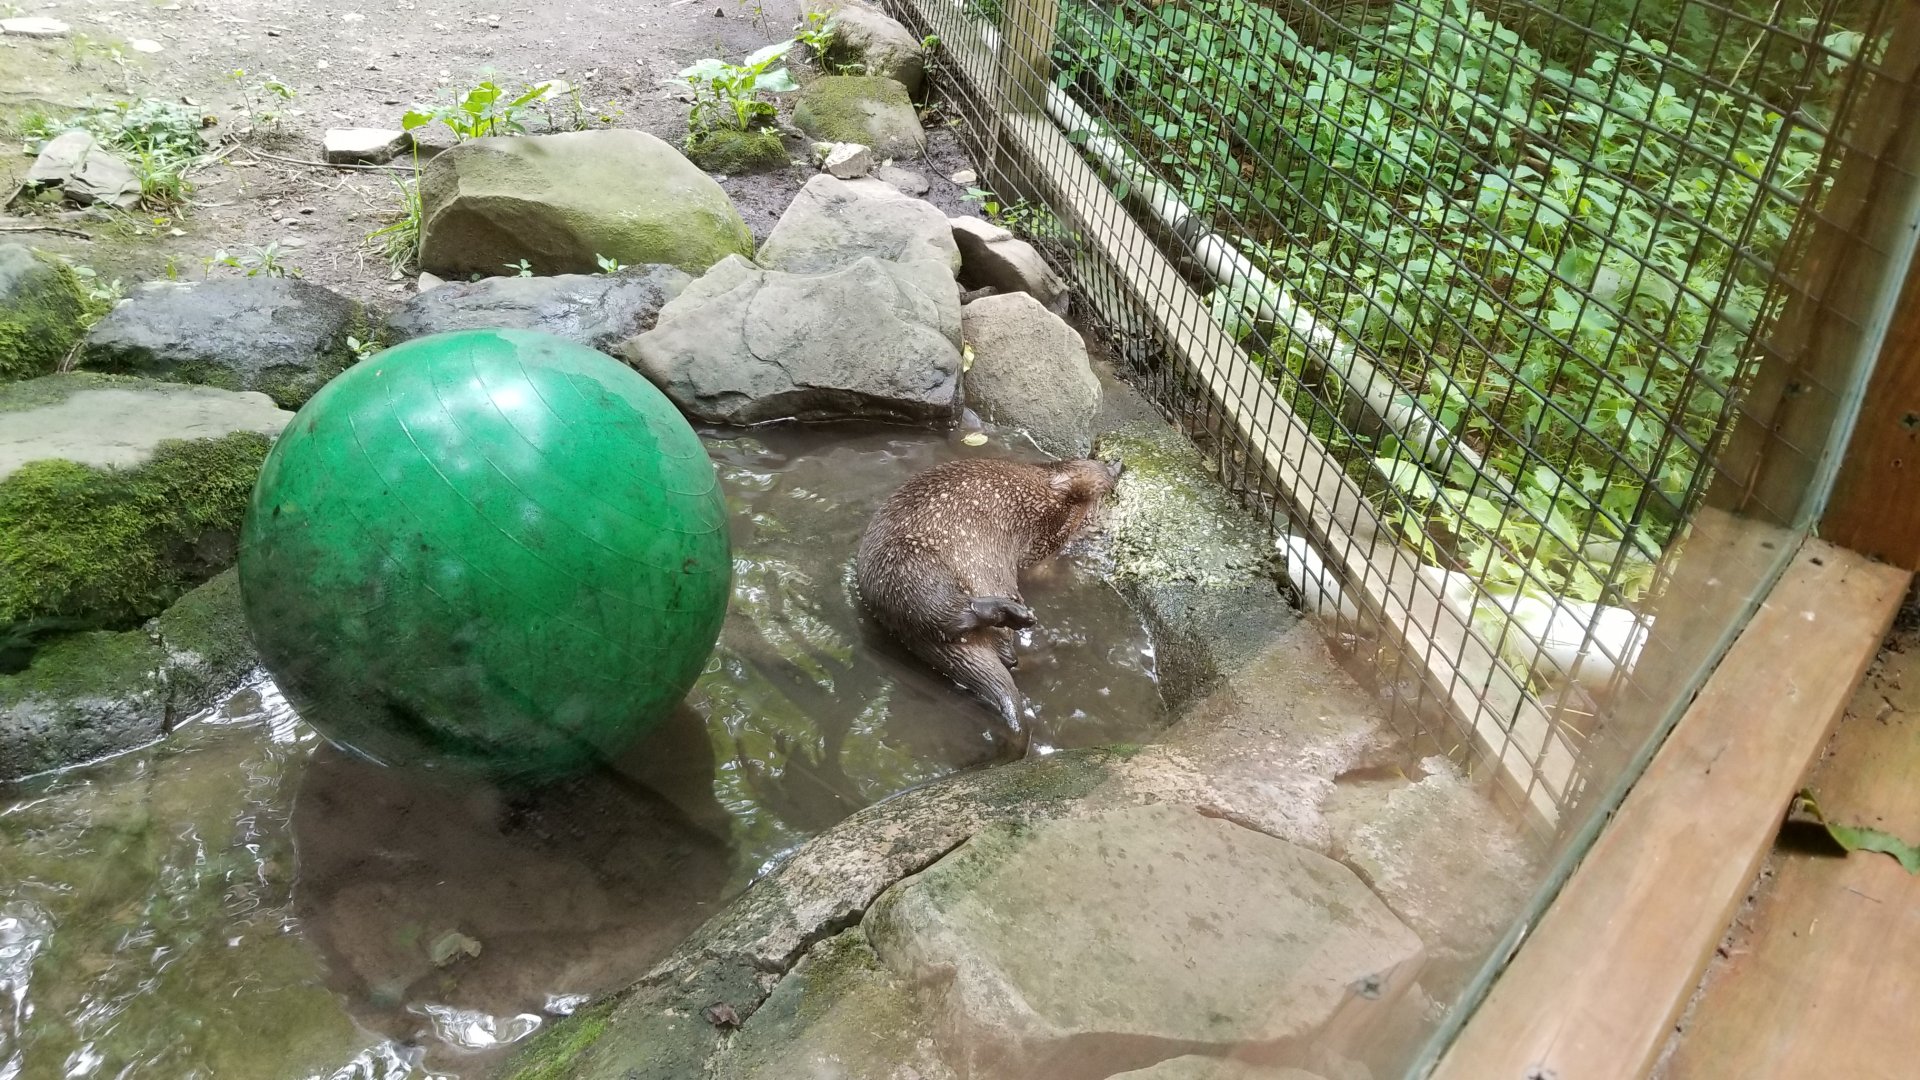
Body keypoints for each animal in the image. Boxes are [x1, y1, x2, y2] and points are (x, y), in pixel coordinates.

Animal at [854, 456, 1124, 750]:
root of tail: (909, 635)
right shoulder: (1066, 485)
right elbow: (1091, 474)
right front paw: (1115, 468)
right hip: (910, 567)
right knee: (953, 615)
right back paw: (1015, 613)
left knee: (1007, 656)